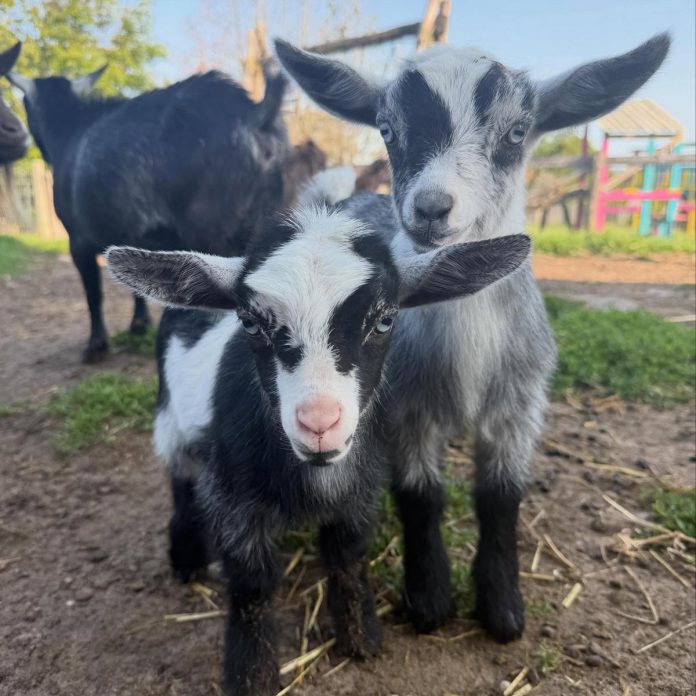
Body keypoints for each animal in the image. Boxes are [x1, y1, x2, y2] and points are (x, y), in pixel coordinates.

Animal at [7, 61, 288, 363]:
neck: (70, 131)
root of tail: (256, 115)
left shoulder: (77, 239)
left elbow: (93, 292)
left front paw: (96, 345)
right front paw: (139, 324)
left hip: (212, 232)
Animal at [105, 185, 531, 695]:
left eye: (384, 321)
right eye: (250, 322)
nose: (320, 423)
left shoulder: (358, 491)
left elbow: (347, 557)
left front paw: (361, 638)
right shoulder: (234, 501)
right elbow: (251, 585)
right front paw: (251, 674)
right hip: (170, 419)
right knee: (180, 478)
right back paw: (186, 556)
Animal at [275, 33, 670, 641]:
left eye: (517, 132)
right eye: (387, 129)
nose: (432, 207)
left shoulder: (519, 406)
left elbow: (501, 498)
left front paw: (503, 607)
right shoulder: (405, 408)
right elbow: (420, 495)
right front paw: (430, 598)